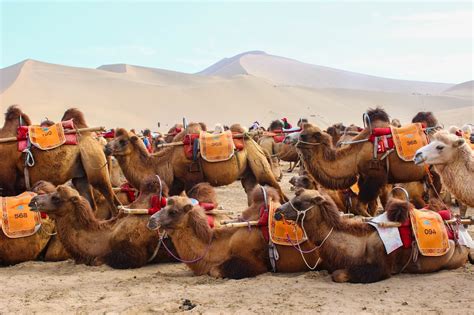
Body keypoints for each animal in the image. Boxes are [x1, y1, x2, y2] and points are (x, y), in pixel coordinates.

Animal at [105, 123, 286, 202]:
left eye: (122, 141)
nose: (106, 147)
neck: (166, 161)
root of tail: (257, 145)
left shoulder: (191, 179)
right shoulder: (176, 184)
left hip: (259, 164)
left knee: (276, 189)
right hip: (248, 171)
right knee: (251, 190)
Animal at [300, 108, 430, 217]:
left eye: (303, 135)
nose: (294, 140)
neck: (357, 154)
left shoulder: (376, 179)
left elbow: (365, 208)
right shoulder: (366, 179)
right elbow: (367, 207)